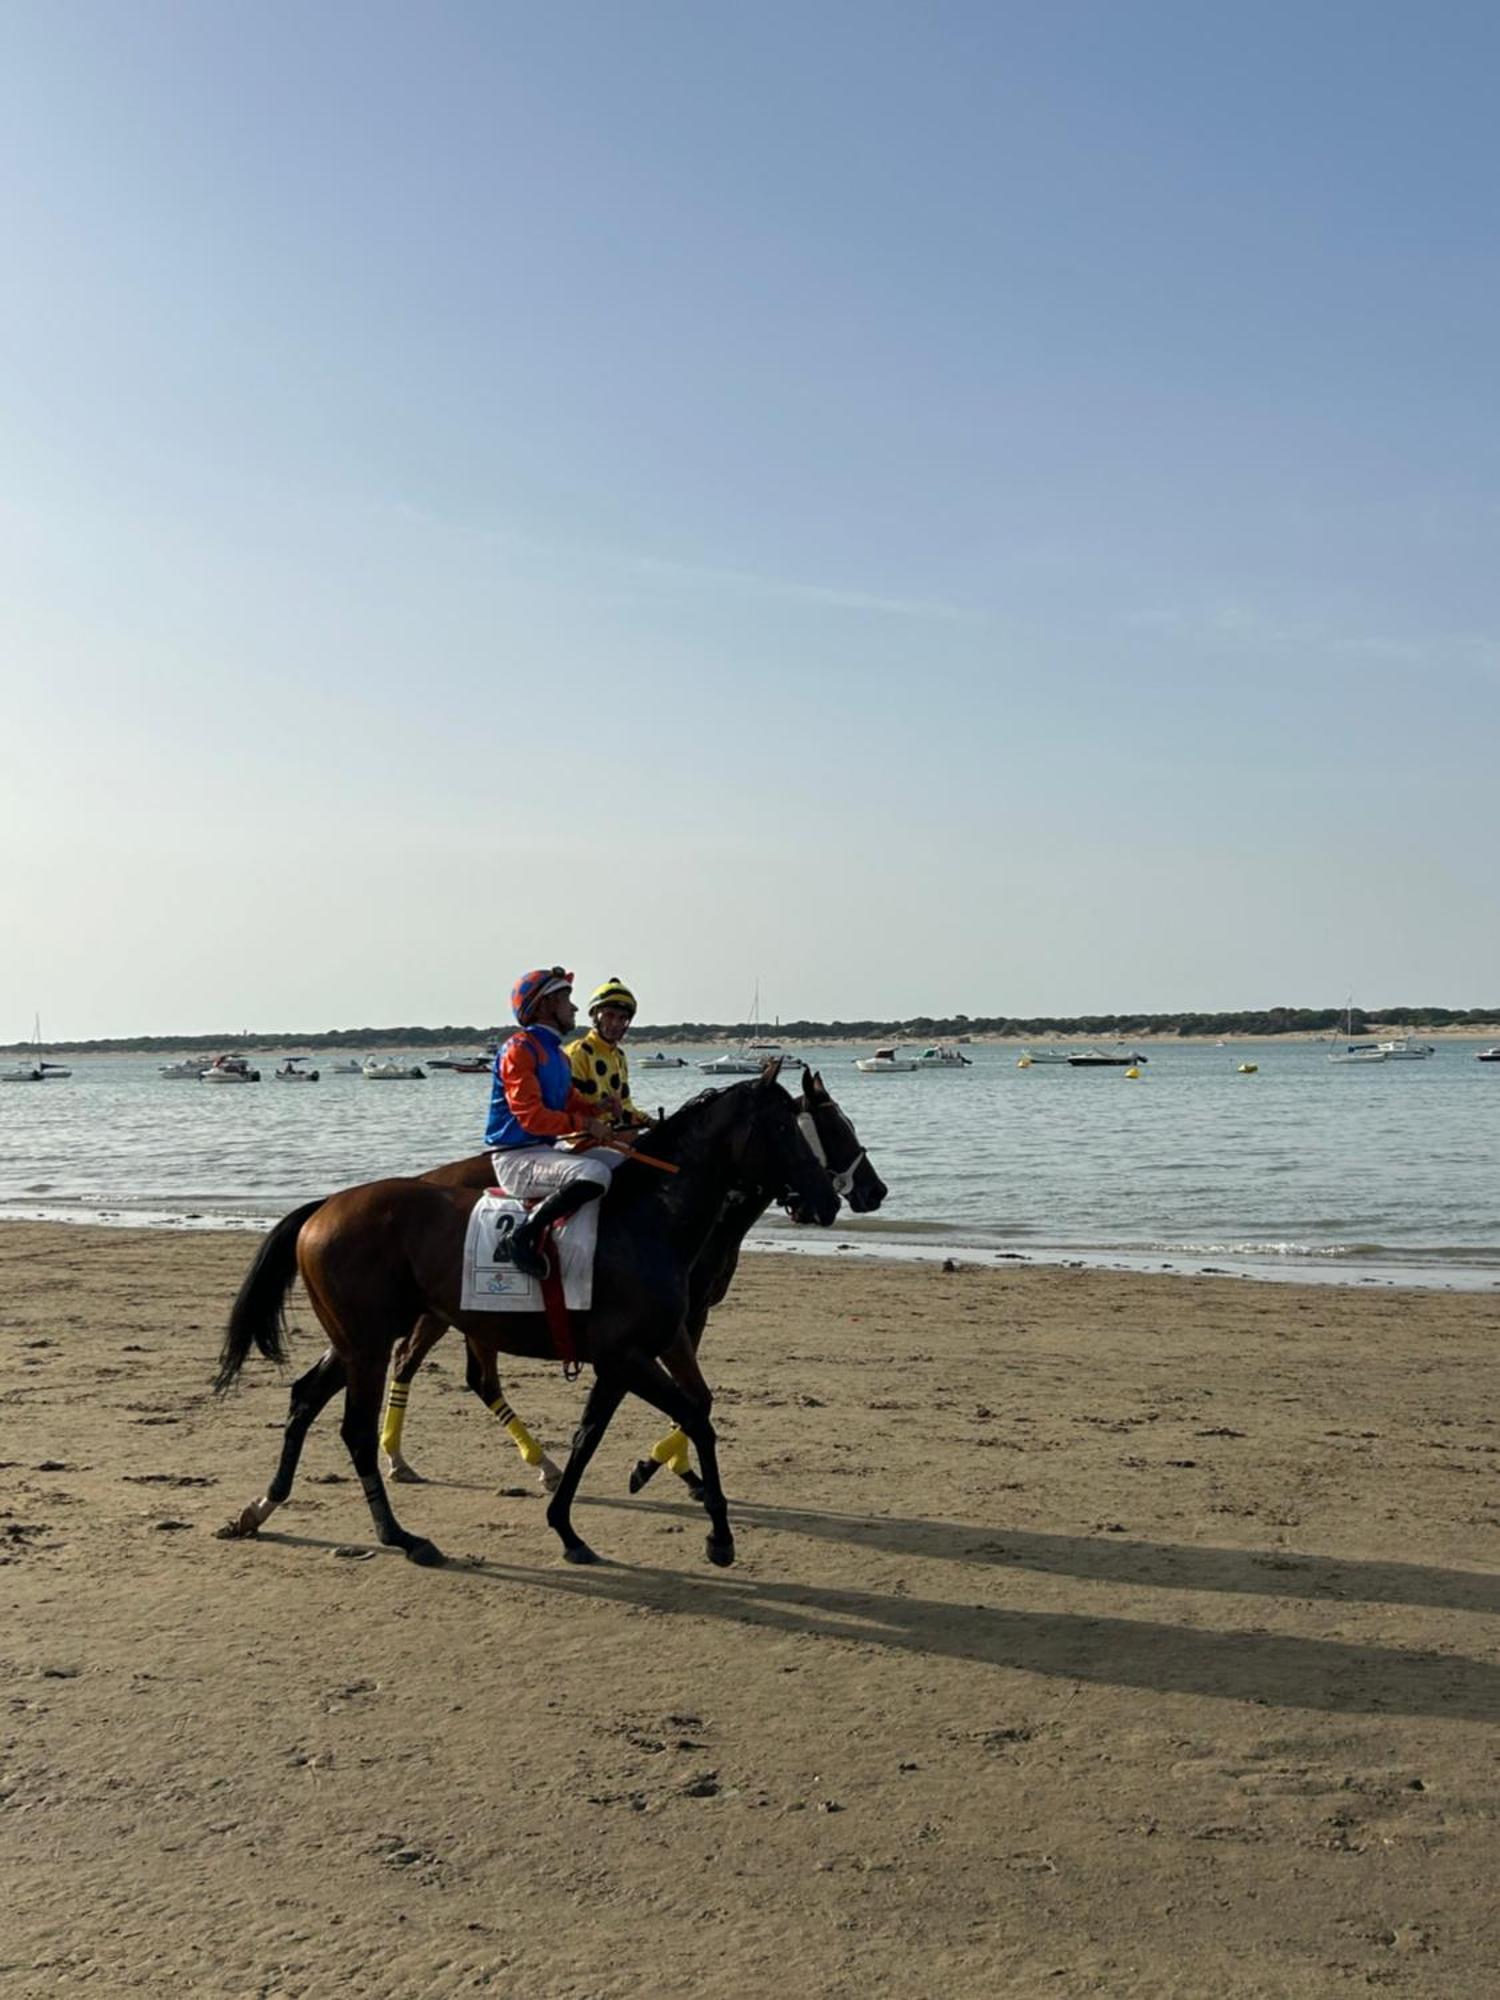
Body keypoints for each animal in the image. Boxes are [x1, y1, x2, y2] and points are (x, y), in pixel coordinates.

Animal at [382, 1080, 888, 1488]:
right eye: (836, 1128)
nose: (876, 1191)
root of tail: (427, 1177)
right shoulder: (671, 1322)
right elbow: (686, 1396)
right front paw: (659, 1465)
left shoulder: (681, 1320)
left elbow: (697, 1395)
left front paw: (668, 1465)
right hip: (446, 1313)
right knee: (415, 1362)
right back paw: (404, 1457)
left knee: (475, 1378)